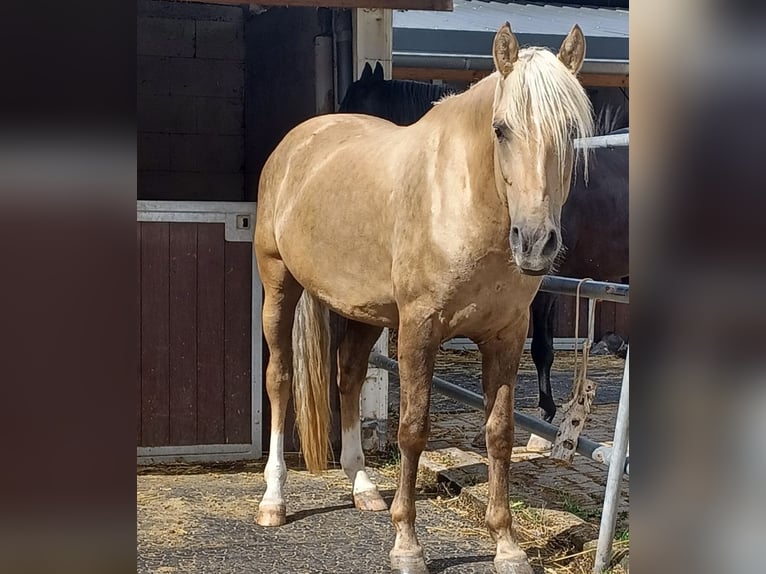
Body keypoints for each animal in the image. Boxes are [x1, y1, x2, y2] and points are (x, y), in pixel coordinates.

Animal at [255, 23, 596, 574]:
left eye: (570, 130)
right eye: (501, 129)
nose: (535, 242)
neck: (461, 202)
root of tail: (298, 142)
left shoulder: (506, 336)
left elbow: (499, 433)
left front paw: (507, 545)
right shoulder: (418, 331)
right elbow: (412, 430)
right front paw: (407, 543)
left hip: (363, 311)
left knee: (348, 376)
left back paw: (363, 487)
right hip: (279, 286)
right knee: (280, 378)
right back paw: (273, 501)